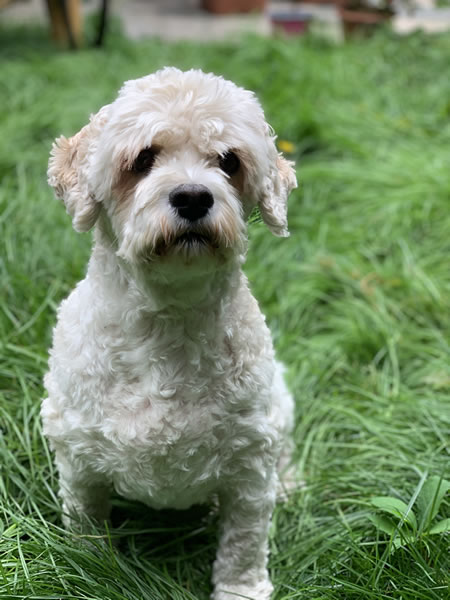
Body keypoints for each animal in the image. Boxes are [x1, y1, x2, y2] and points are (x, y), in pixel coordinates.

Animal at [40, 67, 298, 600]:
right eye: (143, 158)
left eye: (229, 161)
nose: (194, 196)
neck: (168, 322)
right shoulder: (78, 455)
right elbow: (85, 523)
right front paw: (84, 570)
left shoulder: (249, 464)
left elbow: (245, 539)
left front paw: (241, 589)